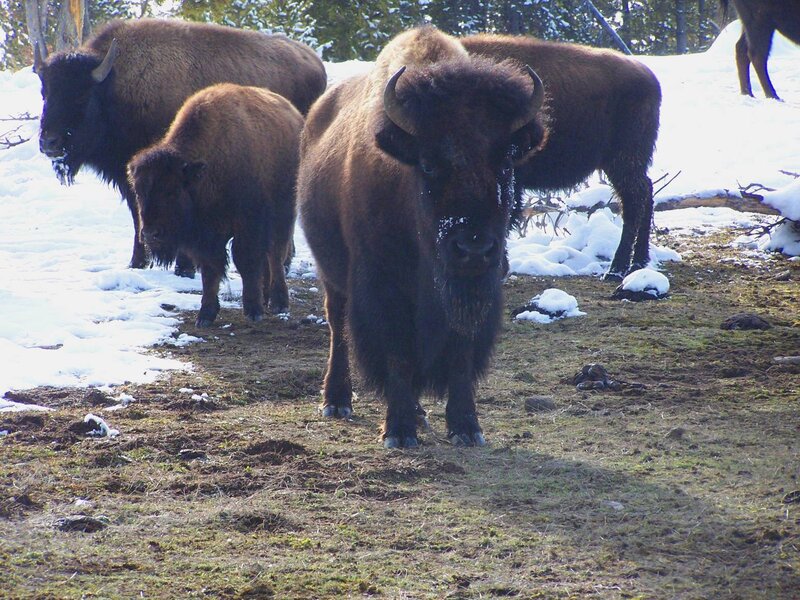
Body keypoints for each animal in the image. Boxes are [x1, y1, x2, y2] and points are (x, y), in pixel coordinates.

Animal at [35, 18, 326, 276]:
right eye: (45, 93)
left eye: (81, 95)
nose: (49, 142)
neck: (116, 87)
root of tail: (314, 61)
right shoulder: (133, 178)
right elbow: (138, 217)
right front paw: (137, 263)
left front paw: (183, 267)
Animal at [128, 83, 302, 327]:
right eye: (138, 191)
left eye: (172, 191)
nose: (150, 234)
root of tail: (294, 116)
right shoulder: (204, 237)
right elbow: (210, 270)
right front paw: (205, 315)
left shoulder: (247, 224)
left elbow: (246, 261)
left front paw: (253, 310)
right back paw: (267, 297)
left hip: (283, 214)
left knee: (276, 253)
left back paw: (278, 302)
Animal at [297, 27, 546, 448]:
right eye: (428, 164)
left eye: (505, 162)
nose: (473, 247)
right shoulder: (385, 289)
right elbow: (397, 354)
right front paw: (398, 432)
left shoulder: (472, 292)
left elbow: (460, 353)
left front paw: (466, 427)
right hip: (332, 274)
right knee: (337, 325)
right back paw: (336, 401)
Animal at [462, 35, 662, 279]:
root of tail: (648, 76)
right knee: (646, 193)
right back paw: (638, 263)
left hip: (623, 161)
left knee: (635, 199)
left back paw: (617, 270)